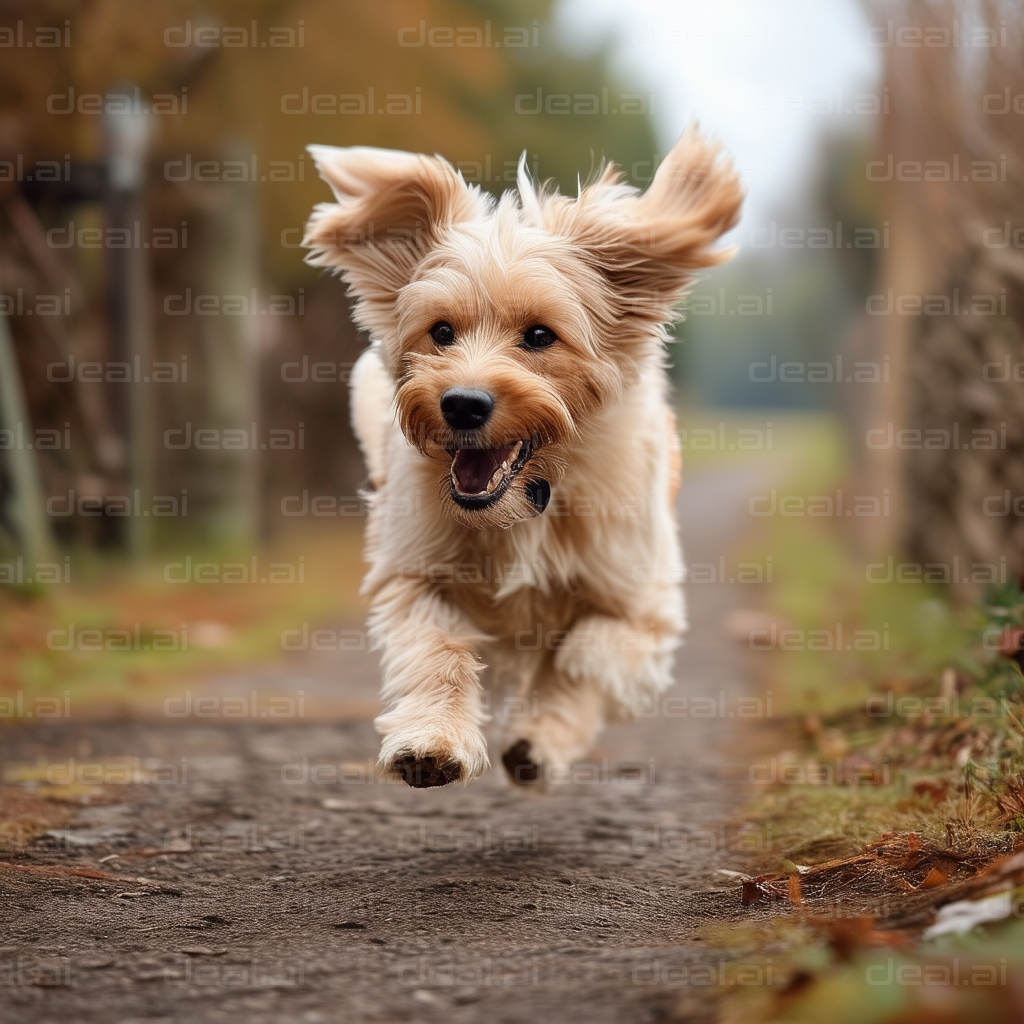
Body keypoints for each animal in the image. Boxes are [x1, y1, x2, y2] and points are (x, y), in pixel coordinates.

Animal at [299, 128, 741, 790]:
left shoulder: (642, 606)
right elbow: (436, 649)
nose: (462, 403)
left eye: (539, 336)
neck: (522, 503)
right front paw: (433, 742)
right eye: (442, 331)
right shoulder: (413, 571)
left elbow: (584, 657)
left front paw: (540, 739)